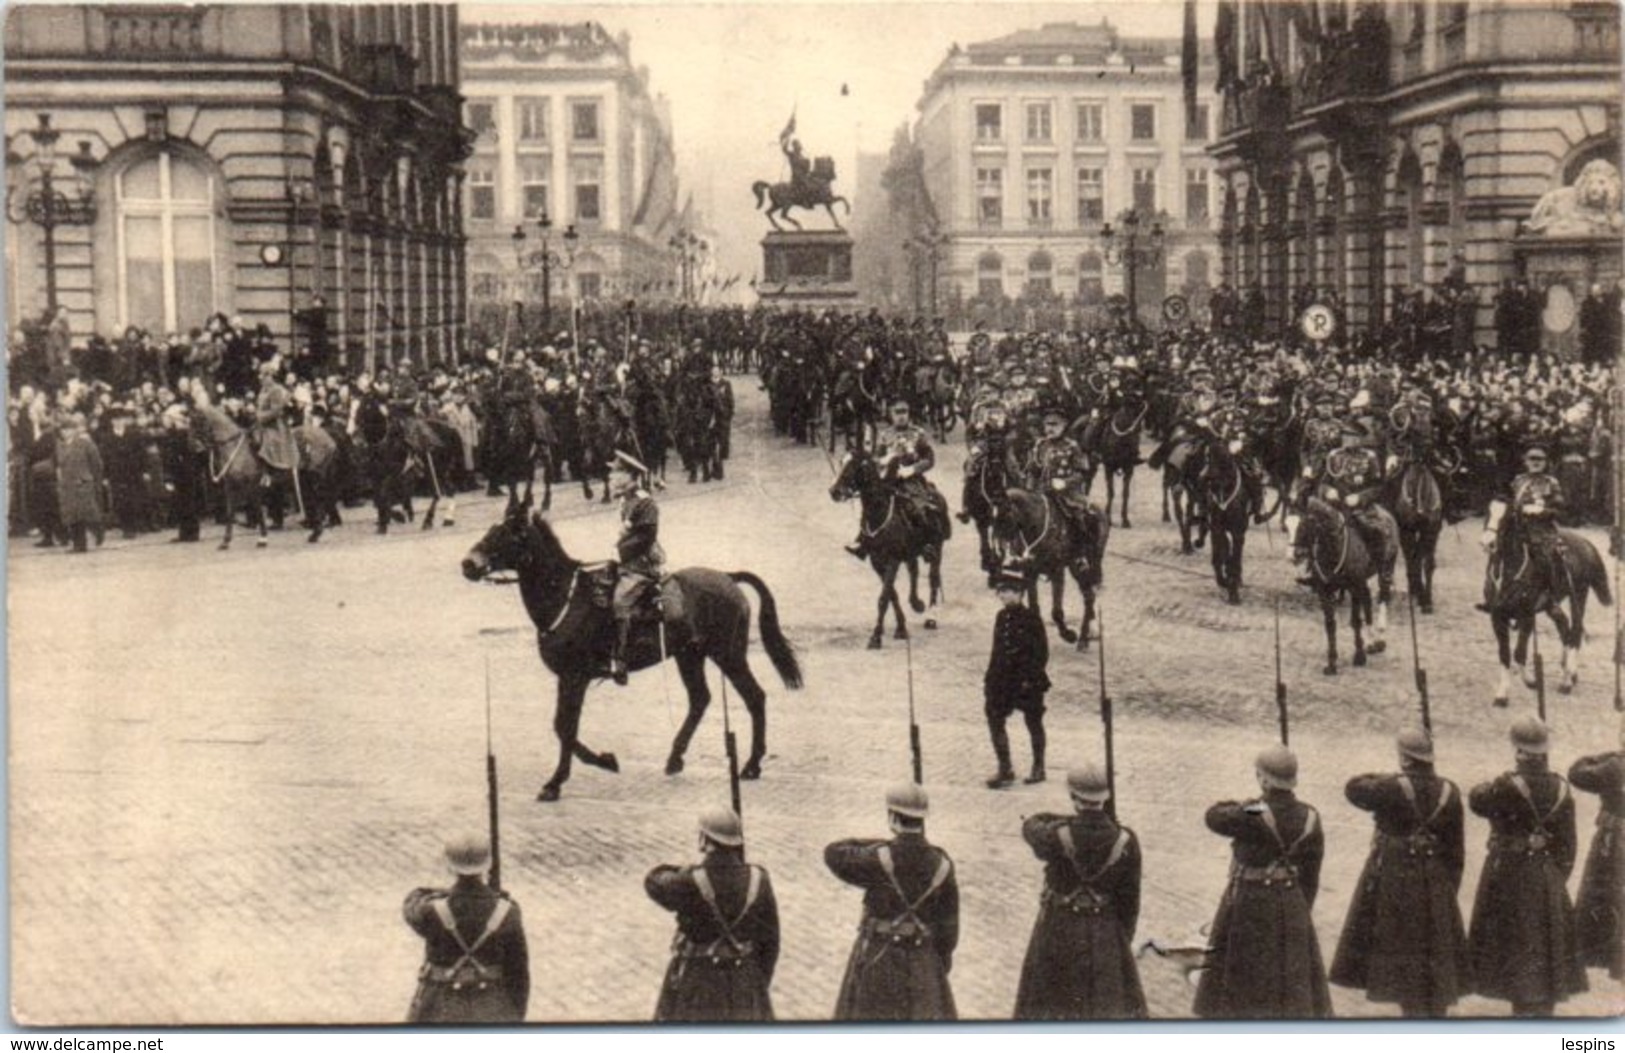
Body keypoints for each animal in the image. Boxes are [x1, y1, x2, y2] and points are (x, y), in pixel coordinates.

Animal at [461, 500, 802, 799]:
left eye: (509, 533)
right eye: (491, 530)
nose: (468, 564)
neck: (567, 599)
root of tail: (727, 578)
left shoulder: (574, 677)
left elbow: (564, 727)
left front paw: (566, 778)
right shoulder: (568, 678)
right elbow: (564, 727)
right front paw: (593, 764)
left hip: (728, 655)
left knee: (754, 697)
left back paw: (751, 765)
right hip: (689, 655)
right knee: (700, 699)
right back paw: (675, 759)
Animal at [832, 445, 949, 646]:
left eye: (854, 465)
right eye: (841, 462)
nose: (834, 491)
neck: (879, 512)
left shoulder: (892, 560)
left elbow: (883, 597)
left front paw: (876, 636)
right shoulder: (877, 562)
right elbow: (892, 595)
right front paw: (901, 628)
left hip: (937, 547)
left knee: (933, 579)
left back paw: (931, 618)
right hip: (910, 553)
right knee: (914, 571)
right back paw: (916, 603)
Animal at [981, 487, 1098, 650]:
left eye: (1006, 514)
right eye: (992, 519)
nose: (996, 556)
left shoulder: (1057, 572)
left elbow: (1056, 612)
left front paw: (1068, 635)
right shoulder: (1030, 573)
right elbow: (1034, 608)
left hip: (1079, 567)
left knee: (1089, 597)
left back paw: (1082, 639)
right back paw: (1085, 638)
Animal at [1482, 500, 1605, 708]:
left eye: (1507, 517)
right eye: (1487, 513)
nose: (1487, 543)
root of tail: (1586, 543)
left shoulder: (1526, 616)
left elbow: (1519, 653)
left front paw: (1530, 681)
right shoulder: (1497, 617)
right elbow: (1505, 654)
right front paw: (1502, 695)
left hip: (1579, 595)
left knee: (1575, 631)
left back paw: (1567, 681)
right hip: (1552, 605)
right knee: (1564, 627)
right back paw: (1568, 673)